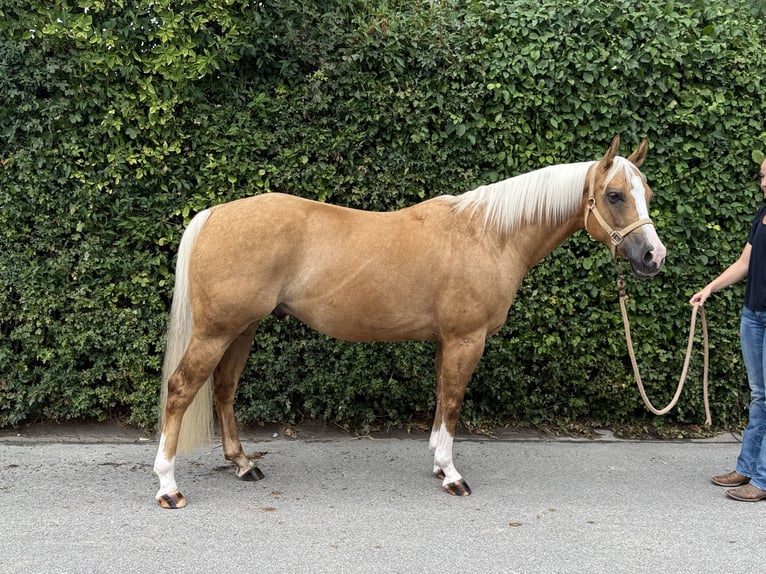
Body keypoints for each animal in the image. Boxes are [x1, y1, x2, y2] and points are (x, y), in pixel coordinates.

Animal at [153, 136, 666, 509]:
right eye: (615, 195)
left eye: (647, 194)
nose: (653, 256)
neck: (488, 235)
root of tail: (214, 214)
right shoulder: (466, 340)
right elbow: (454, 403)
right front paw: (453, 476)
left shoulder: (447, 340)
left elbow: (441, 399)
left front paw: (439, 465)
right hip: (217, 331)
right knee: (180, 390)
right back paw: (168, 487)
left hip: (242, 329)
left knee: (223, 390)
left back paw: (243, 464)